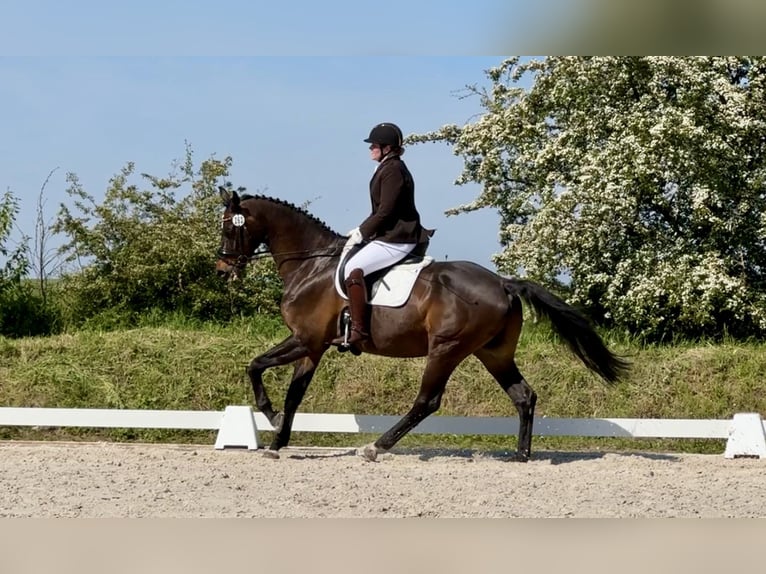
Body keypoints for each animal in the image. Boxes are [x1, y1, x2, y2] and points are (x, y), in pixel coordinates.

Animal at [215, 186, 630, 462]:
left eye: (229, 227)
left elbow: (256, 367)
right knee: (523, 396)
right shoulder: (312, 346)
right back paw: (521, 455)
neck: (311, 266)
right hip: (493, 353)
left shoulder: (307, 339)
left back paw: (375, 447)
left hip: (446, 349)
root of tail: (503, 283)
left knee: (427, 400)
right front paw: (277, 441)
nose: (221, 269)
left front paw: (271, 419)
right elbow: (292, 392)